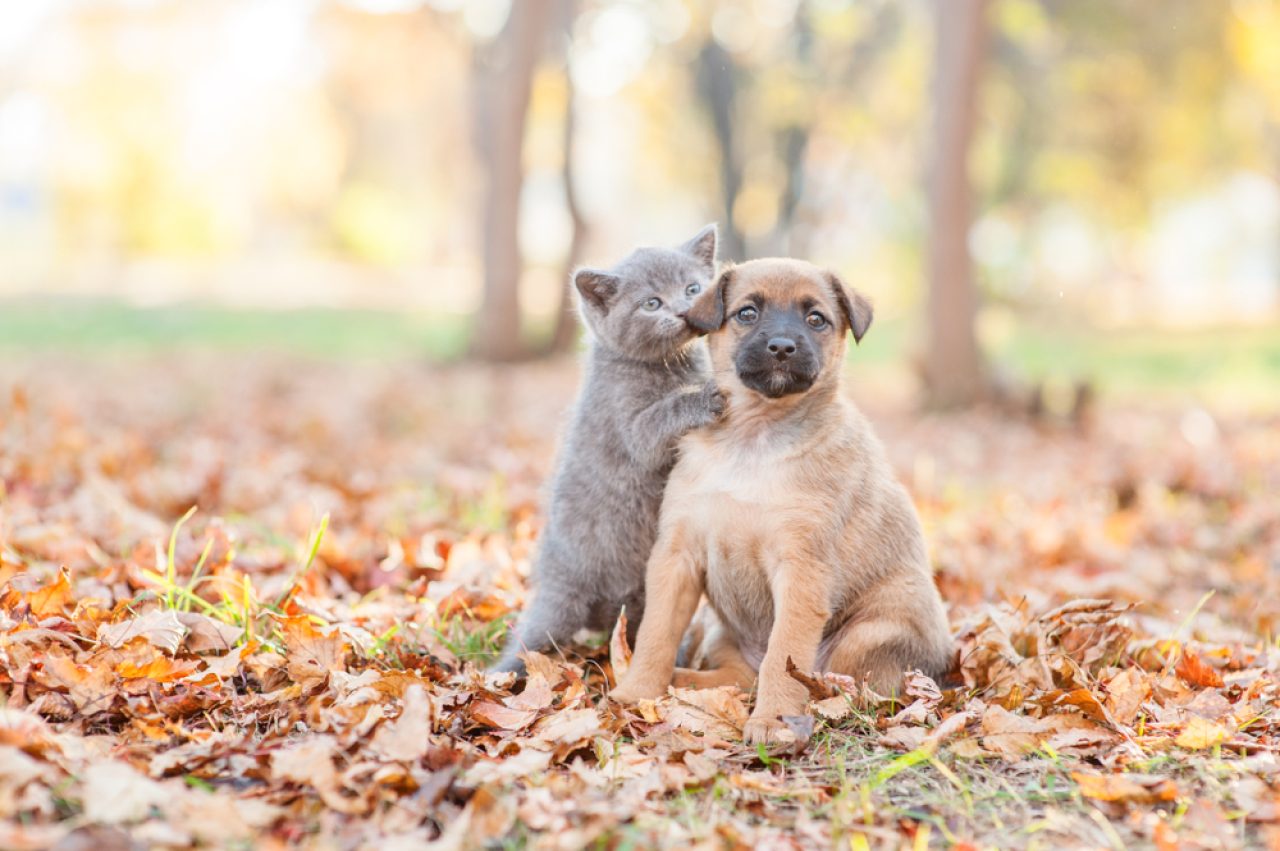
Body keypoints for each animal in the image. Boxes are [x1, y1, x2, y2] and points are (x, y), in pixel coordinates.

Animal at [491, 223, 721, 670]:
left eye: (692, 288)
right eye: (652, 303)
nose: (682, 310)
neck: (671, 365)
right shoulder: (629, 421)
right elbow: (662, 418)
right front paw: (704, 396)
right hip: (564, 605)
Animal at [609, 255, 952, 742]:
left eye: (816, 319)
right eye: (747, 313)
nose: (783, 347)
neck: (753, 439)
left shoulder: (801, 568)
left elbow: (783, 656)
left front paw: (773, 722)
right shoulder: (676, 557)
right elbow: (656, 636)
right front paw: (637, 692)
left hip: (868, 633)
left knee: (842, 685)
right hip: (721, 634)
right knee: (741, 678)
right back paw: (685, 683)